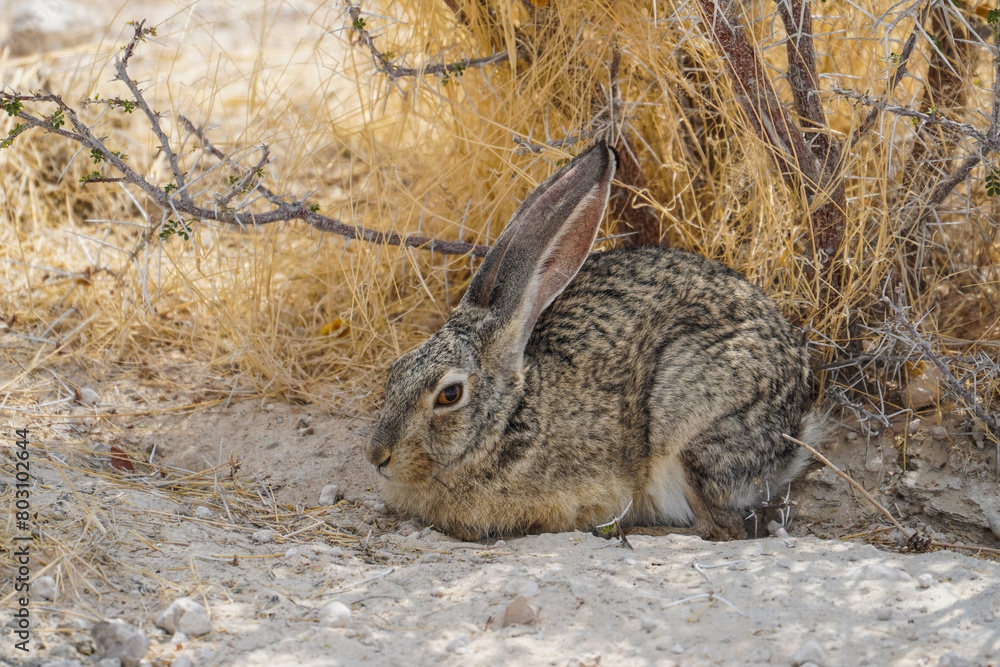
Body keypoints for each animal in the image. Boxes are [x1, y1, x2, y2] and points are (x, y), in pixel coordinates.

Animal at [366, 142, 825, 541]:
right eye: (396, 371)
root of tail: (792, 425)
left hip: (687, 424)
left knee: (720, 528)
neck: (507, 420)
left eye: (450, 394)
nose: (377, 458)